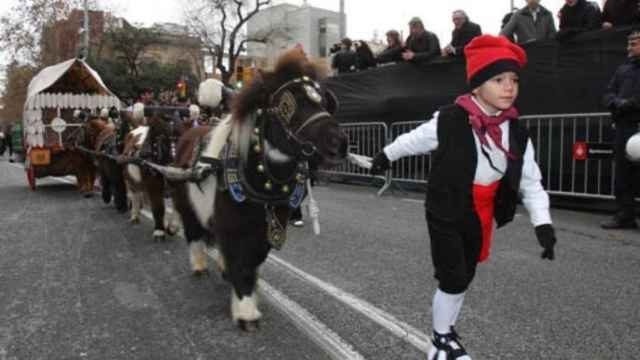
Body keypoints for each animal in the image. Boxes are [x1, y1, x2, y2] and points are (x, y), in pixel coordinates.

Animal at [170, 49, 348, 330]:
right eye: (288, 105)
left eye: (322, 102)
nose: (339, 143)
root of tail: (188, 132)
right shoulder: (233, 225)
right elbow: (241, 263)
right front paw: (245, 312)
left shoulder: (265, 229)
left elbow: (252, 261)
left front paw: (246, 295)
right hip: (187, 206)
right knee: (194, 234)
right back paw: (199, 265)